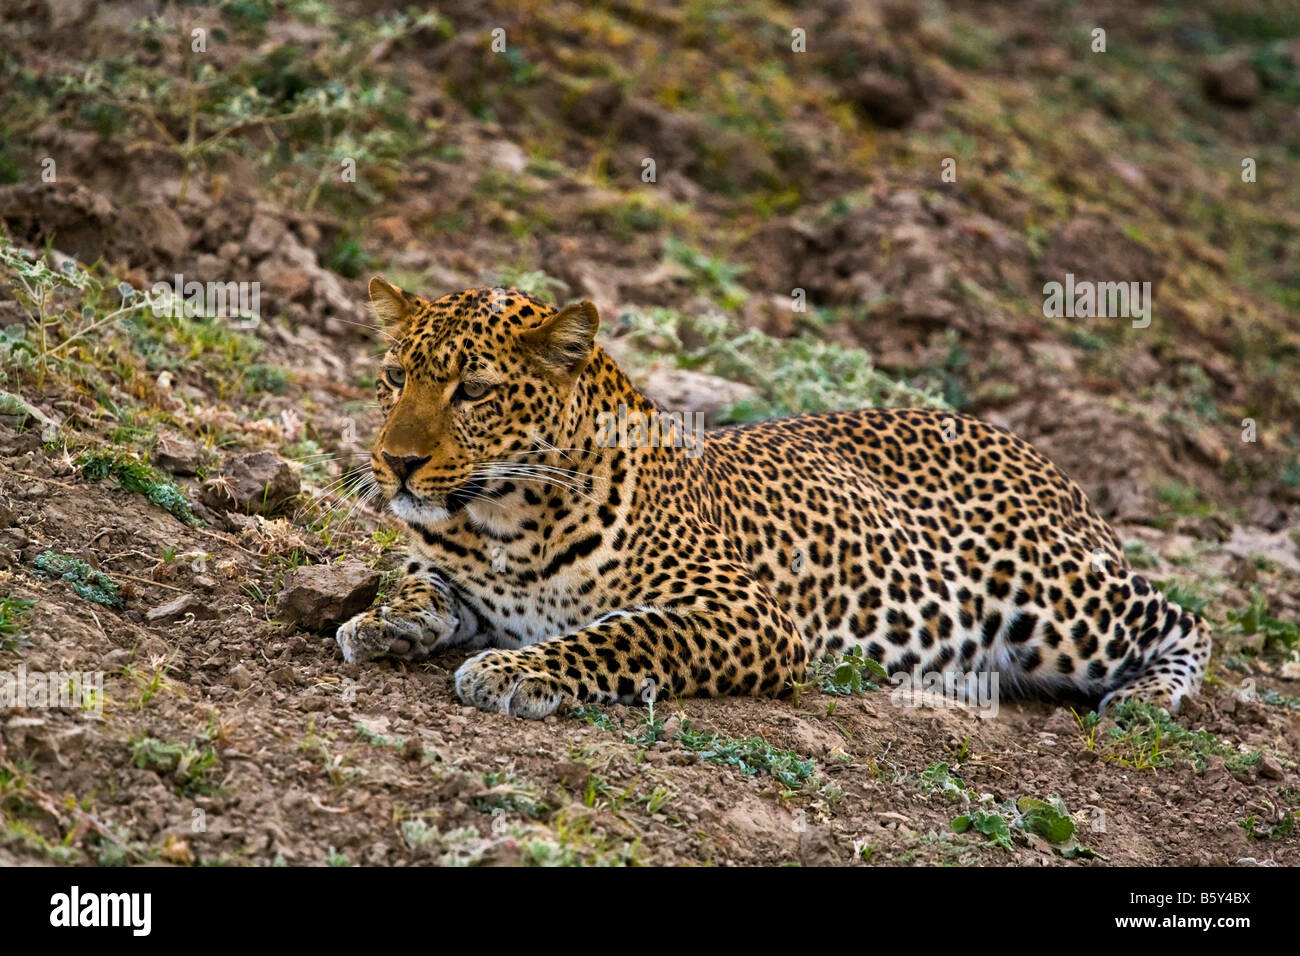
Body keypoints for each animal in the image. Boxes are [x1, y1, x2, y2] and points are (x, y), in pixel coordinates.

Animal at [335, 277, 1211, 720]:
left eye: (474, 391)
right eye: (393, 377)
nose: (396, 463)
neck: (503, 522)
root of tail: (1040, 453)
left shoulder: (746, 612)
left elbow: (621, 635)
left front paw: (514, 670)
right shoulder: (452, 564)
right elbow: (418, 579)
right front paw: (384, 621)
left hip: (1057, 605)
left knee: (1186, 618)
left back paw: (1146, 698)